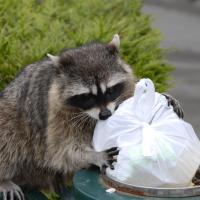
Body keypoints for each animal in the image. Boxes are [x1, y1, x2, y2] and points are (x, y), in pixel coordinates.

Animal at [0, 35, 184, 199]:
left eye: (110, 90)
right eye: (87, 96)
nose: (105, 114)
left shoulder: (125, 87)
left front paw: (165, 98)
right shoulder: (57, 115)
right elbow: (62, 151)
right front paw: (94, 155)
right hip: (11, 115)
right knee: (9, 138)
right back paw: (4, 179)